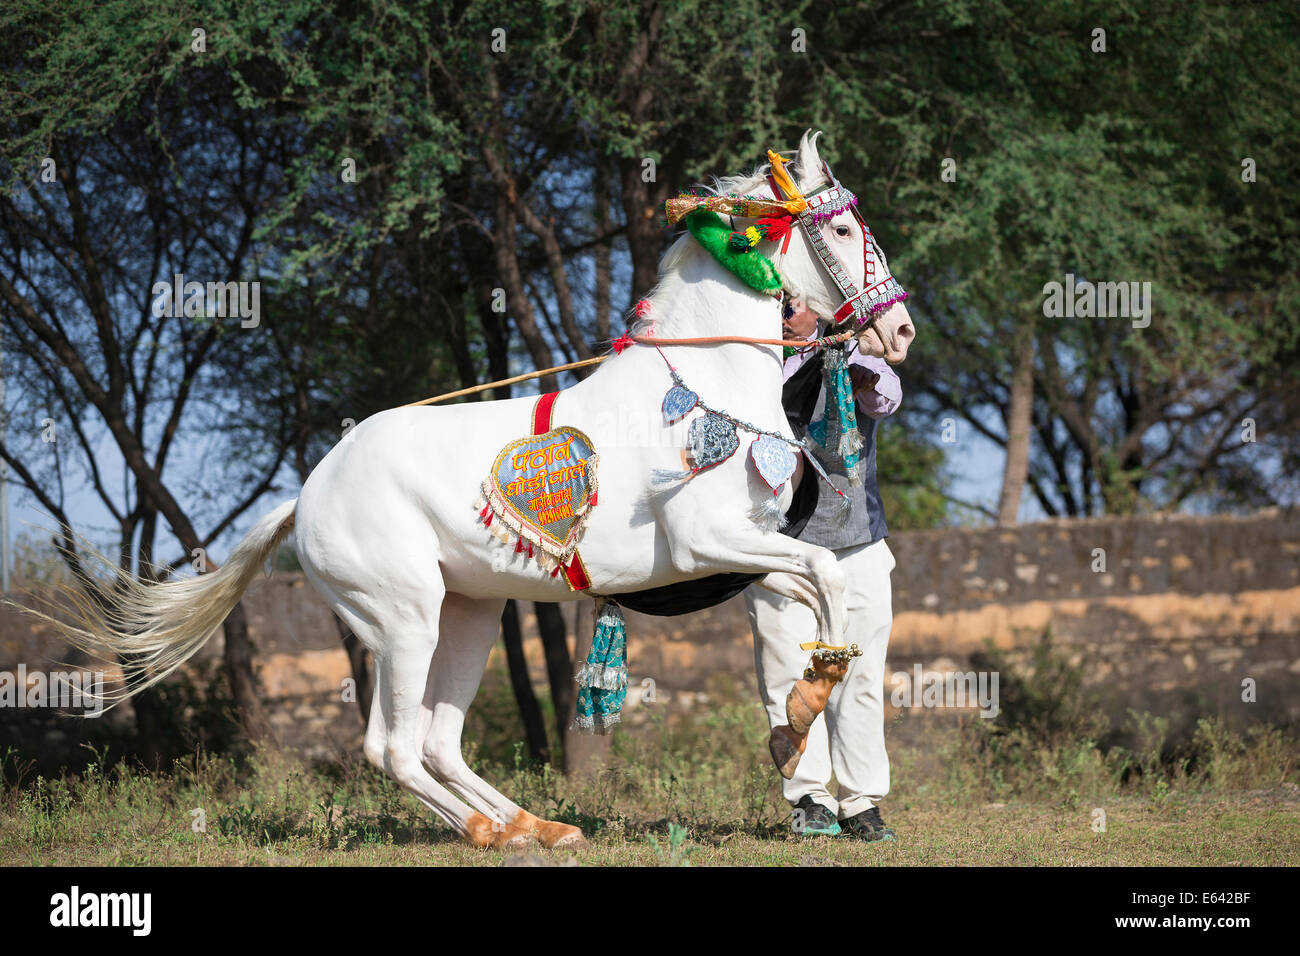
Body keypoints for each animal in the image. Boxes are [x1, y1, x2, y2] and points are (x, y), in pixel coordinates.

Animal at [31, 131, 915, 849]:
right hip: (404, 616)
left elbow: (827, 588)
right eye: (841, 229)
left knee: (433, 743)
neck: (705, 385)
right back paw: (492, 831)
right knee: (392, 749)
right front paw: (799, 715)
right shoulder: (706, 543)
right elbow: (826, 572)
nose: (899, 329)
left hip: (467, 613)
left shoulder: (750, 550)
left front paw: (803, 709)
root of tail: (306, 494)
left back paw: (537, 825)